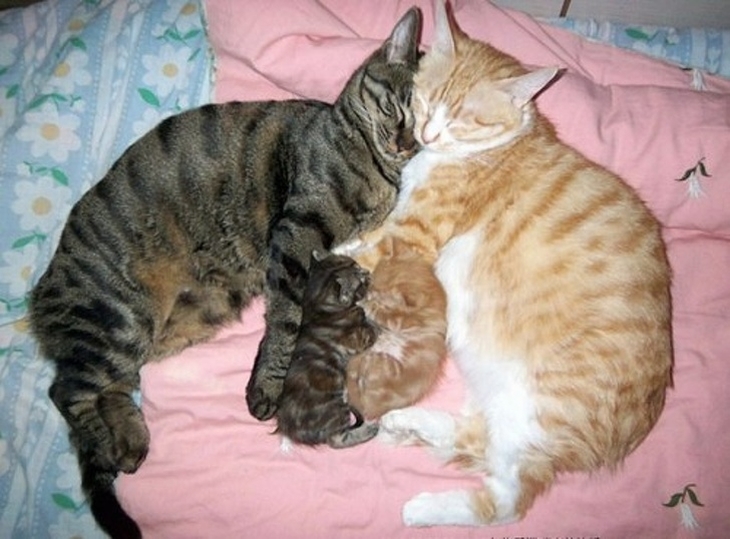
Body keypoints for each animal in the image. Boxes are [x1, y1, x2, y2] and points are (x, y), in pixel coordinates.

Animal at [272, 251, 376, 450]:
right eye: (361, 281)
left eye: (357, 265)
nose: (367, 272)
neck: (317, 305)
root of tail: (290, 430)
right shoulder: (360, 338)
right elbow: (373, 326)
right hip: (335, 409)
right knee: (337, 440)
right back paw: (371, 430)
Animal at [344, 237, 446, 422]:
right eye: (371, 285)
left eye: (376, 294)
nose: (366, 293)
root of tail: (370, 410)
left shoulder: (401, 321)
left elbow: (381, 312)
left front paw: (365, 304)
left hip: (383, 363)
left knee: (361, 370)